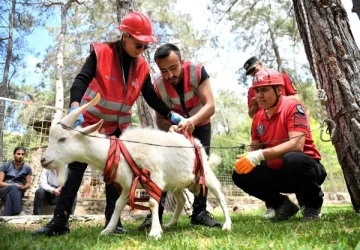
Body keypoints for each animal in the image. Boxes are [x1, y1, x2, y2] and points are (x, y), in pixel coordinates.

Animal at [40, 93, 232, 239]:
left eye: (62, 139)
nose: (43, 160)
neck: (123, 150)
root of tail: (195, 142)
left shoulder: (154, 176)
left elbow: (153, 203)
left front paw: (155, 232)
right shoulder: (128, 184)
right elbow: (118, 204)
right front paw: (107, 230)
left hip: (204, 173)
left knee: (220, 195)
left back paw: (227, 225)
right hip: (175, 182)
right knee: (181, 200)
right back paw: (171, 223)